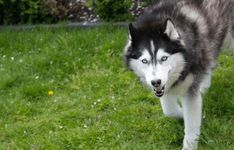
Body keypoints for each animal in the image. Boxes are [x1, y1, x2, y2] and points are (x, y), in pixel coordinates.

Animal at [123, 0, 233, 149]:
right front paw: (182, 114)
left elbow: (191, 123)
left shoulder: (189, 92)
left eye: (164, 58)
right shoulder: (165, 87)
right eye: (144, 61)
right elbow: (169, 110)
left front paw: (190, 144)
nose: (155, 82)